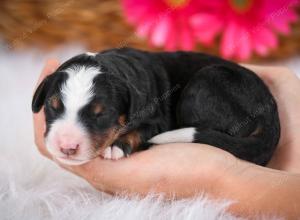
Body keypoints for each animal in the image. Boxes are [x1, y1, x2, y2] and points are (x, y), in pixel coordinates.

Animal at [31, 47, 280, 166]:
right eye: (53, 106)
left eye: (101, 115)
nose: (67, 147)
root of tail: (270, 112)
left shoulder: (158, 119)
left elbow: (139, 131)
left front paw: (117, 146)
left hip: (204, 84)